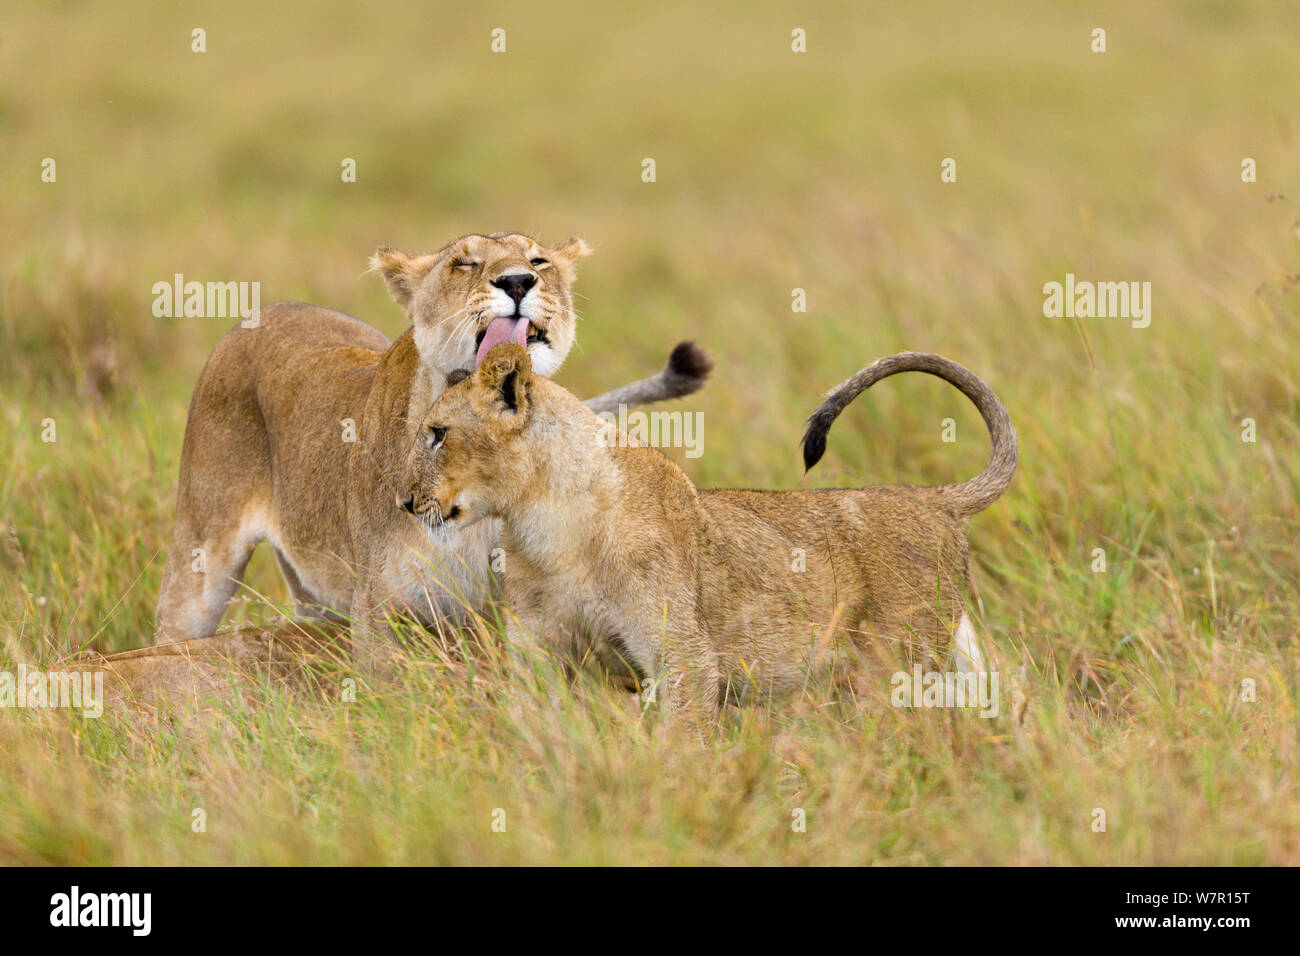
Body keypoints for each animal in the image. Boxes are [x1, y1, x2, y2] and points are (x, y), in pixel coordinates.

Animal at [154, 232, 713, 670]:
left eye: (538, 261)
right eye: (464, 264)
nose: (517, 283)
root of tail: (263, 311)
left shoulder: (514, 609)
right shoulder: (379, 613)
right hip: (199, 559)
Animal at [403, 343, 1016, 726]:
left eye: (438, 434)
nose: (404, 502)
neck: (546, 525)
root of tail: (933, 498)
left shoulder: (685, 659)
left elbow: (684, 742)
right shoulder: (540, 651)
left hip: (898, 665)